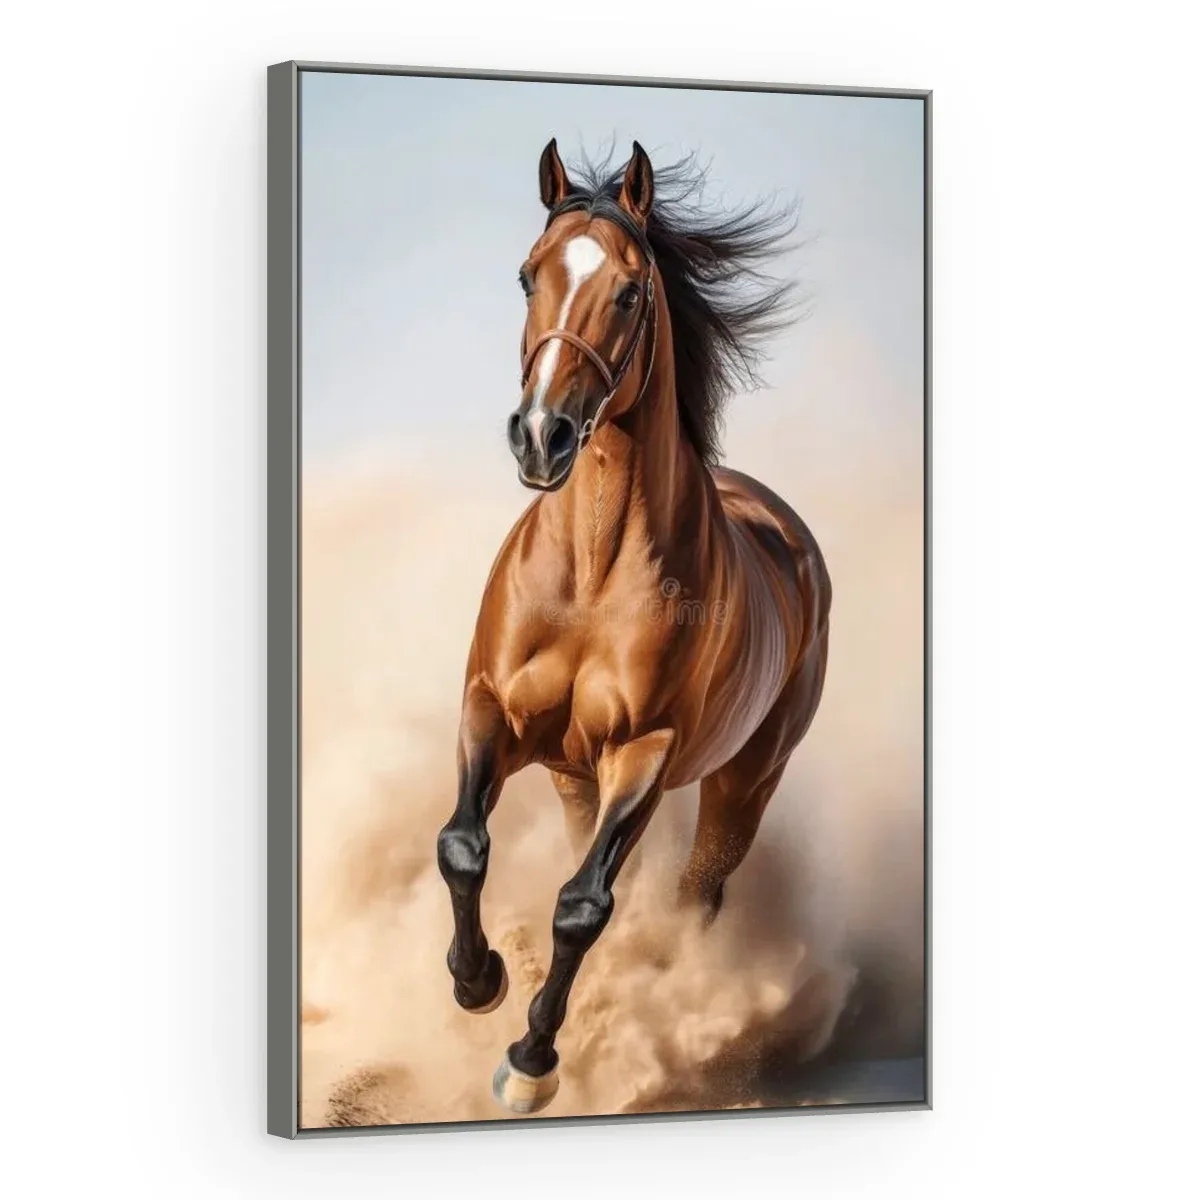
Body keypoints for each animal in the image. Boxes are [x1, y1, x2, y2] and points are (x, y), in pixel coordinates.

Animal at [436, 139, 832, 1115]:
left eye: (627, 291)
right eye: (528, 275)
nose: (542, 435)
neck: (589, 577)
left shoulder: (643, 753)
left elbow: (582, 906)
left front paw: (530, 1063)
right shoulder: (491, 709)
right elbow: (462, 845)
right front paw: (479, 980)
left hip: (741, 784)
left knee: (691, 897)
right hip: (574, 779)